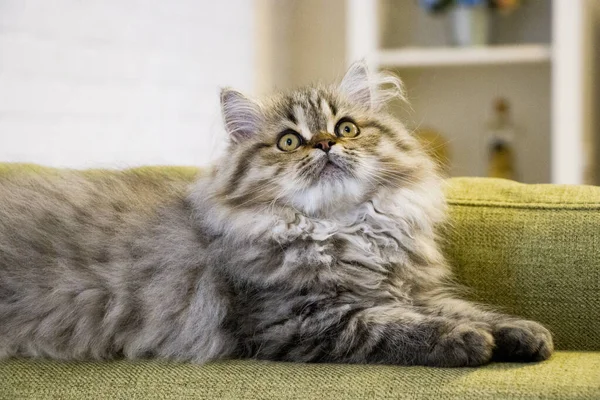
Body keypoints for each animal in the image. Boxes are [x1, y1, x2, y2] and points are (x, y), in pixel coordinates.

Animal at [0, 61, 552, 366]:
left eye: (346, 128)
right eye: (289, 141)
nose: (325, 143)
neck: (344, 231)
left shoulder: (410, 290)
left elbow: (466, 309)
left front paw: (524, 333)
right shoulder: (301, 320)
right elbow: (398, 327)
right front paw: (468, 341)